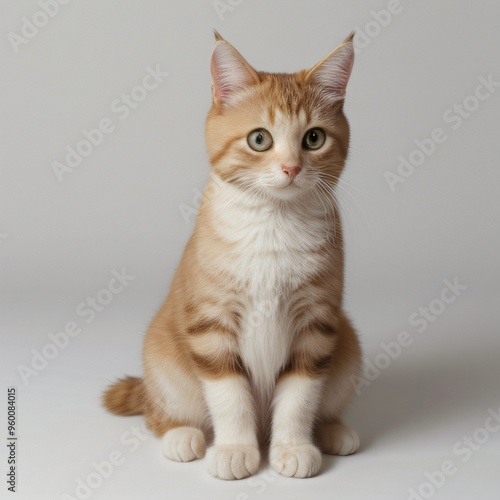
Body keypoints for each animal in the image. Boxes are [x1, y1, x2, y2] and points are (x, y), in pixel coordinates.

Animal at [102, 32, 360, 480]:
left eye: (313, 138)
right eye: (260, 139)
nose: (291, 168)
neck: (273, 222)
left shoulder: (318, 324)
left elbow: (300, 396)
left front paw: (293, 447)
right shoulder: (210, 323)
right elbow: (229, 396)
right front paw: (235, 449)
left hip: (349, 349)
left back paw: (332, 431)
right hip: (162, 358)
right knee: (157, 412)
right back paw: (180, 435)